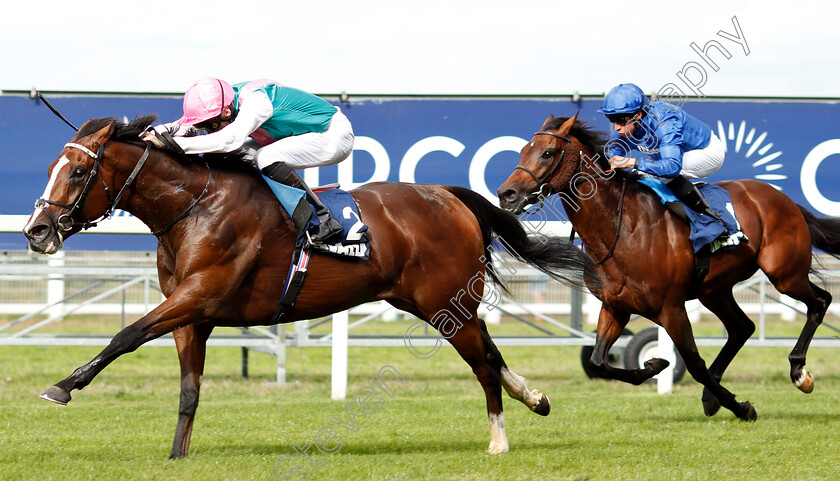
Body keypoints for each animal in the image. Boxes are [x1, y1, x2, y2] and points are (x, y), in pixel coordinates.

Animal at [21, 114, 596, 456]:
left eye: (77, 173)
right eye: (51, 166)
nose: (36, 230)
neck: (195, 206)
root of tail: (449, 194)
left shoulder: (200, 293)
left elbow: (127, 335)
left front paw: (63, 386)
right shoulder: (192, 315)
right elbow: (188, 390)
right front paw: (177, 455)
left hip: (442, 305)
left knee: (481, 364)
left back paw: (498, 438)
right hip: (436, 303)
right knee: (491, 352)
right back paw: (534, 397)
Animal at [496, 112, 840, 420]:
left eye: (547, 152)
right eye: (523, 150)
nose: (505, 193)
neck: (624, 230)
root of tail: (786, 200)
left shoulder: (671, 308)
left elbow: (696, 364)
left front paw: (742, 407)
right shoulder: (616, 306)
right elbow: (597, 362)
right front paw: (654, 365)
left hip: (784, 274)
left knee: (820, 301)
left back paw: (799, 371)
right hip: (714, 290)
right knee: (743, 327)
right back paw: (713, 395)